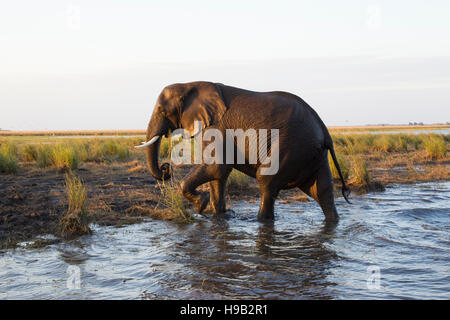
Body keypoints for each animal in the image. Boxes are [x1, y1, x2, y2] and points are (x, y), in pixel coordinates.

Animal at [135, 82, 350, 222]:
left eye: (162, 111)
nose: (166, 168)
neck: (189, 85)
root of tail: (324, 130)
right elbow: (218, 175)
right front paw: (220, 216)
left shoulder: (214, 127)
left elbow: (216, 167)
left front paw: (200, 205)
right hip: (311, 153)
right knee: (321, 190)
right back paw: (333, 222)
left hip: (293, 146)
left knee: (266, 180)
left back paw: (261, 222)